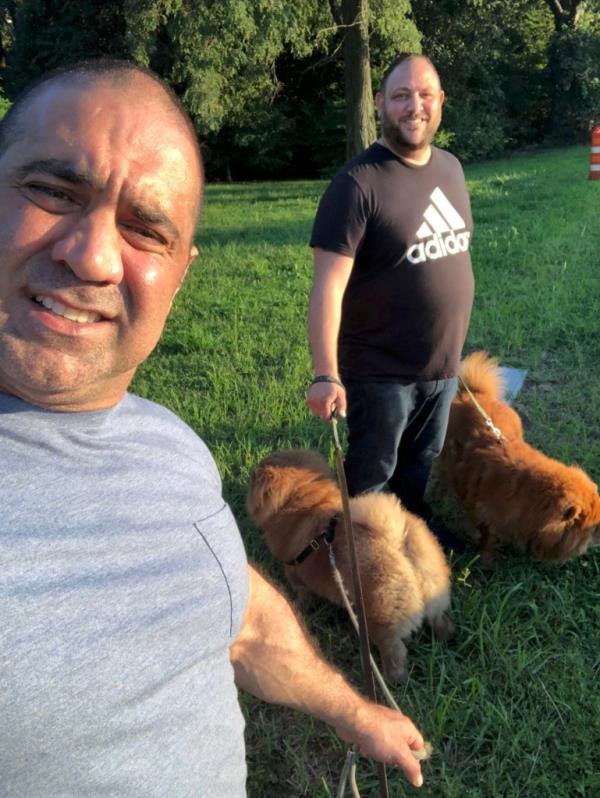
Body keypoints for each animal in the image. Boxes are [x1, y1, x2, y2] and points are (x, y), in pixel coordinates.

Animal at [246, 450, 452, 680]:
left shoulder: (294, 574)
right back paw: (446, 637)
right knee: (440, 619)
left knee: (395, 649)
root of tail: (397, 543)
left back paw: (393, 677)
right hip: (434, 593)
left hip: (379, 619)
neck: (302, 504)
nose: (252, 472)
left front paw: (297, 606)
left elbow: (303, 595)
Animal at [436, 354, 600, 564]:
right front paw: (486, 558)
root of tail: (474, 394)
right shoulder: (483, 514)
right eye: (595, 527)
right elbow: (487, 537)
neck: (532, 496)